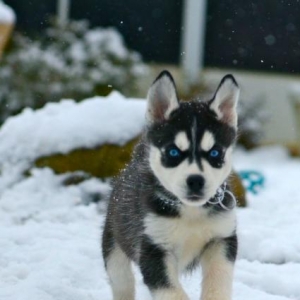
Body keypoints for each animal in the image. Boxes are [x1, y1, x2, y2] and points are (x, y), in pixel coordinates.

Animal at [102, 71, 240, 300]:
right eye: (174, 152)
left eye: (214, 153)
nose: (196, 180)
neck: (190, 212)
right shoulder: (153, 248)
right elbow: (172, 292)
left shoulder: (221, 239)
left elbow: (218, 283)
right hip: (115, 245)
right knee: (122, 283)